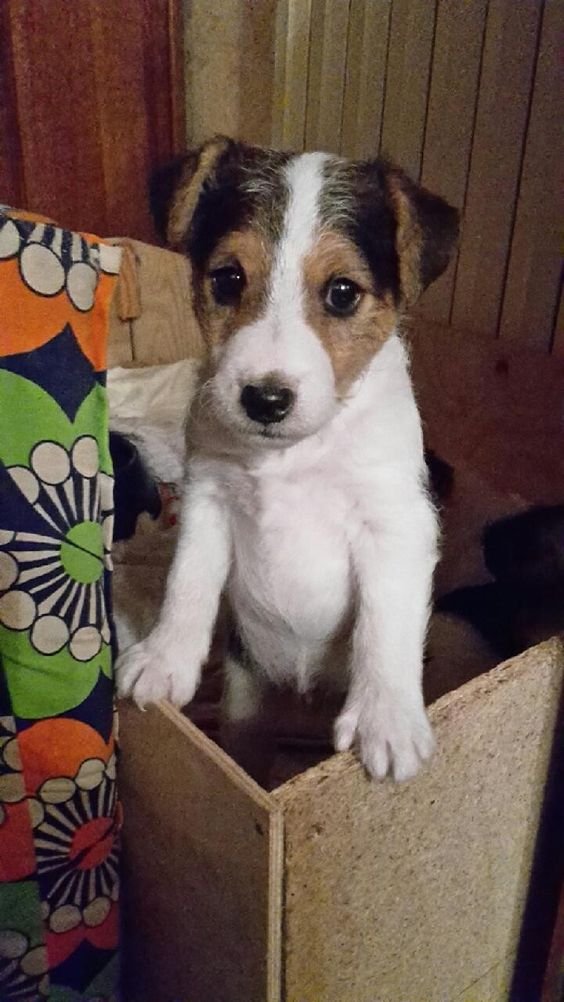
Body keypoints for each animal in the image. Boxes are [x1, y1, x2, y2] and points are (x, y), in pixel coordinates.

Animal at [115, 139, 458, 781]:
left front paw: (387, 717)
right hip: (246, 701)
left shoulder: (397, 523)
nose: (265, 400)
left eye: (342, 293)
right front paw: (165, 657)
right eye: (228, 279)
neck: (294, 453)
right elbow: (188, 581)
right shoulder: (208, 498)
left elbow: (385, 622)